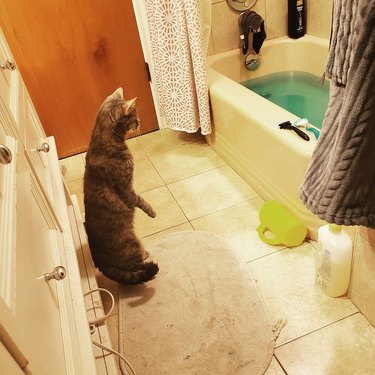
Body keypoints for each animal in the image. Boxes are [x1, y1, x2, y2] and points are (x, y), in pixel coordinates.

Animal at [84, 86, 159, 284]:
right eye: (135, 115)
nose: (140, 122)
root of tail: (100, 262)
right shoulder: (126, 190)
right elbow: (142, 201)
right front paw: (152, 212)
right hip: (132, 245)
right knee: (136, 267)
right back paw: (146, 257)